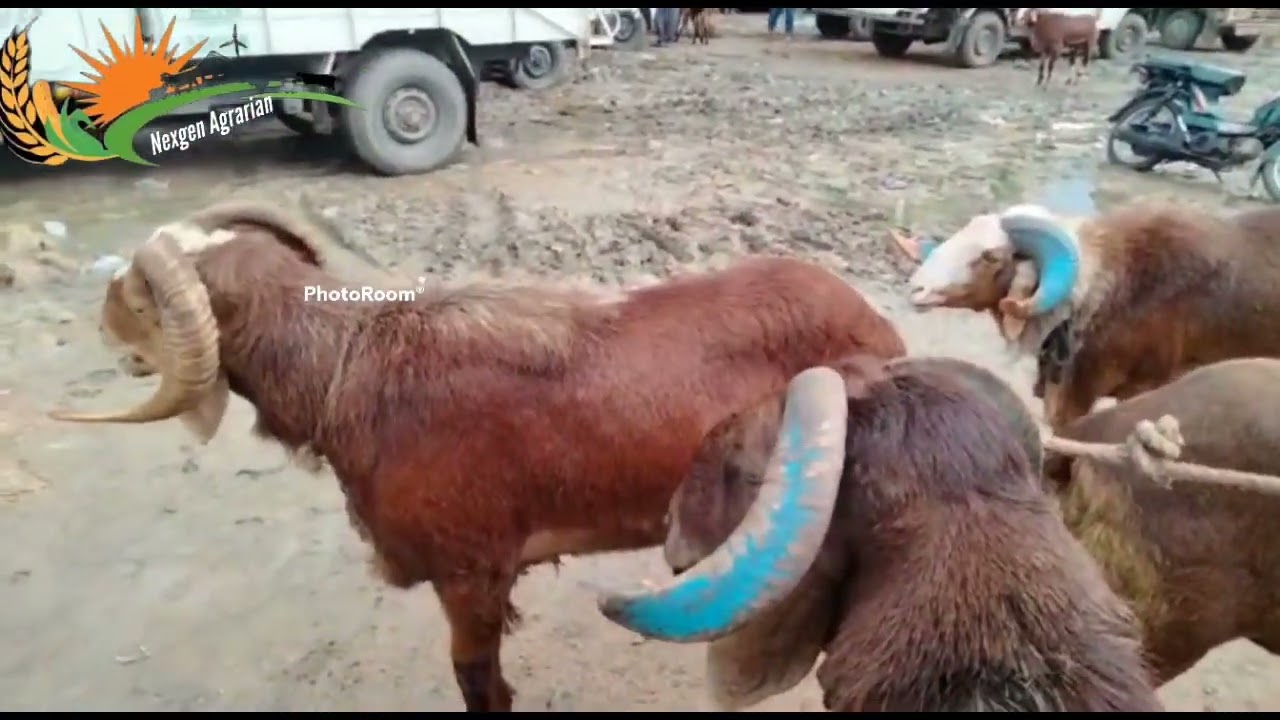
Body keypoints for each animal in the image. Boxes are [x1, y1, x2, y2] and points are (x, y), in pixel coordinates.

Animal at [48, 202, 907, 712]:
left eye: (136, 297)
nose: (98, 326)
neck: (350, 373)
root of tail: (877, 324)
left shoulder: (469, 573)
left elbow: (478, 682)